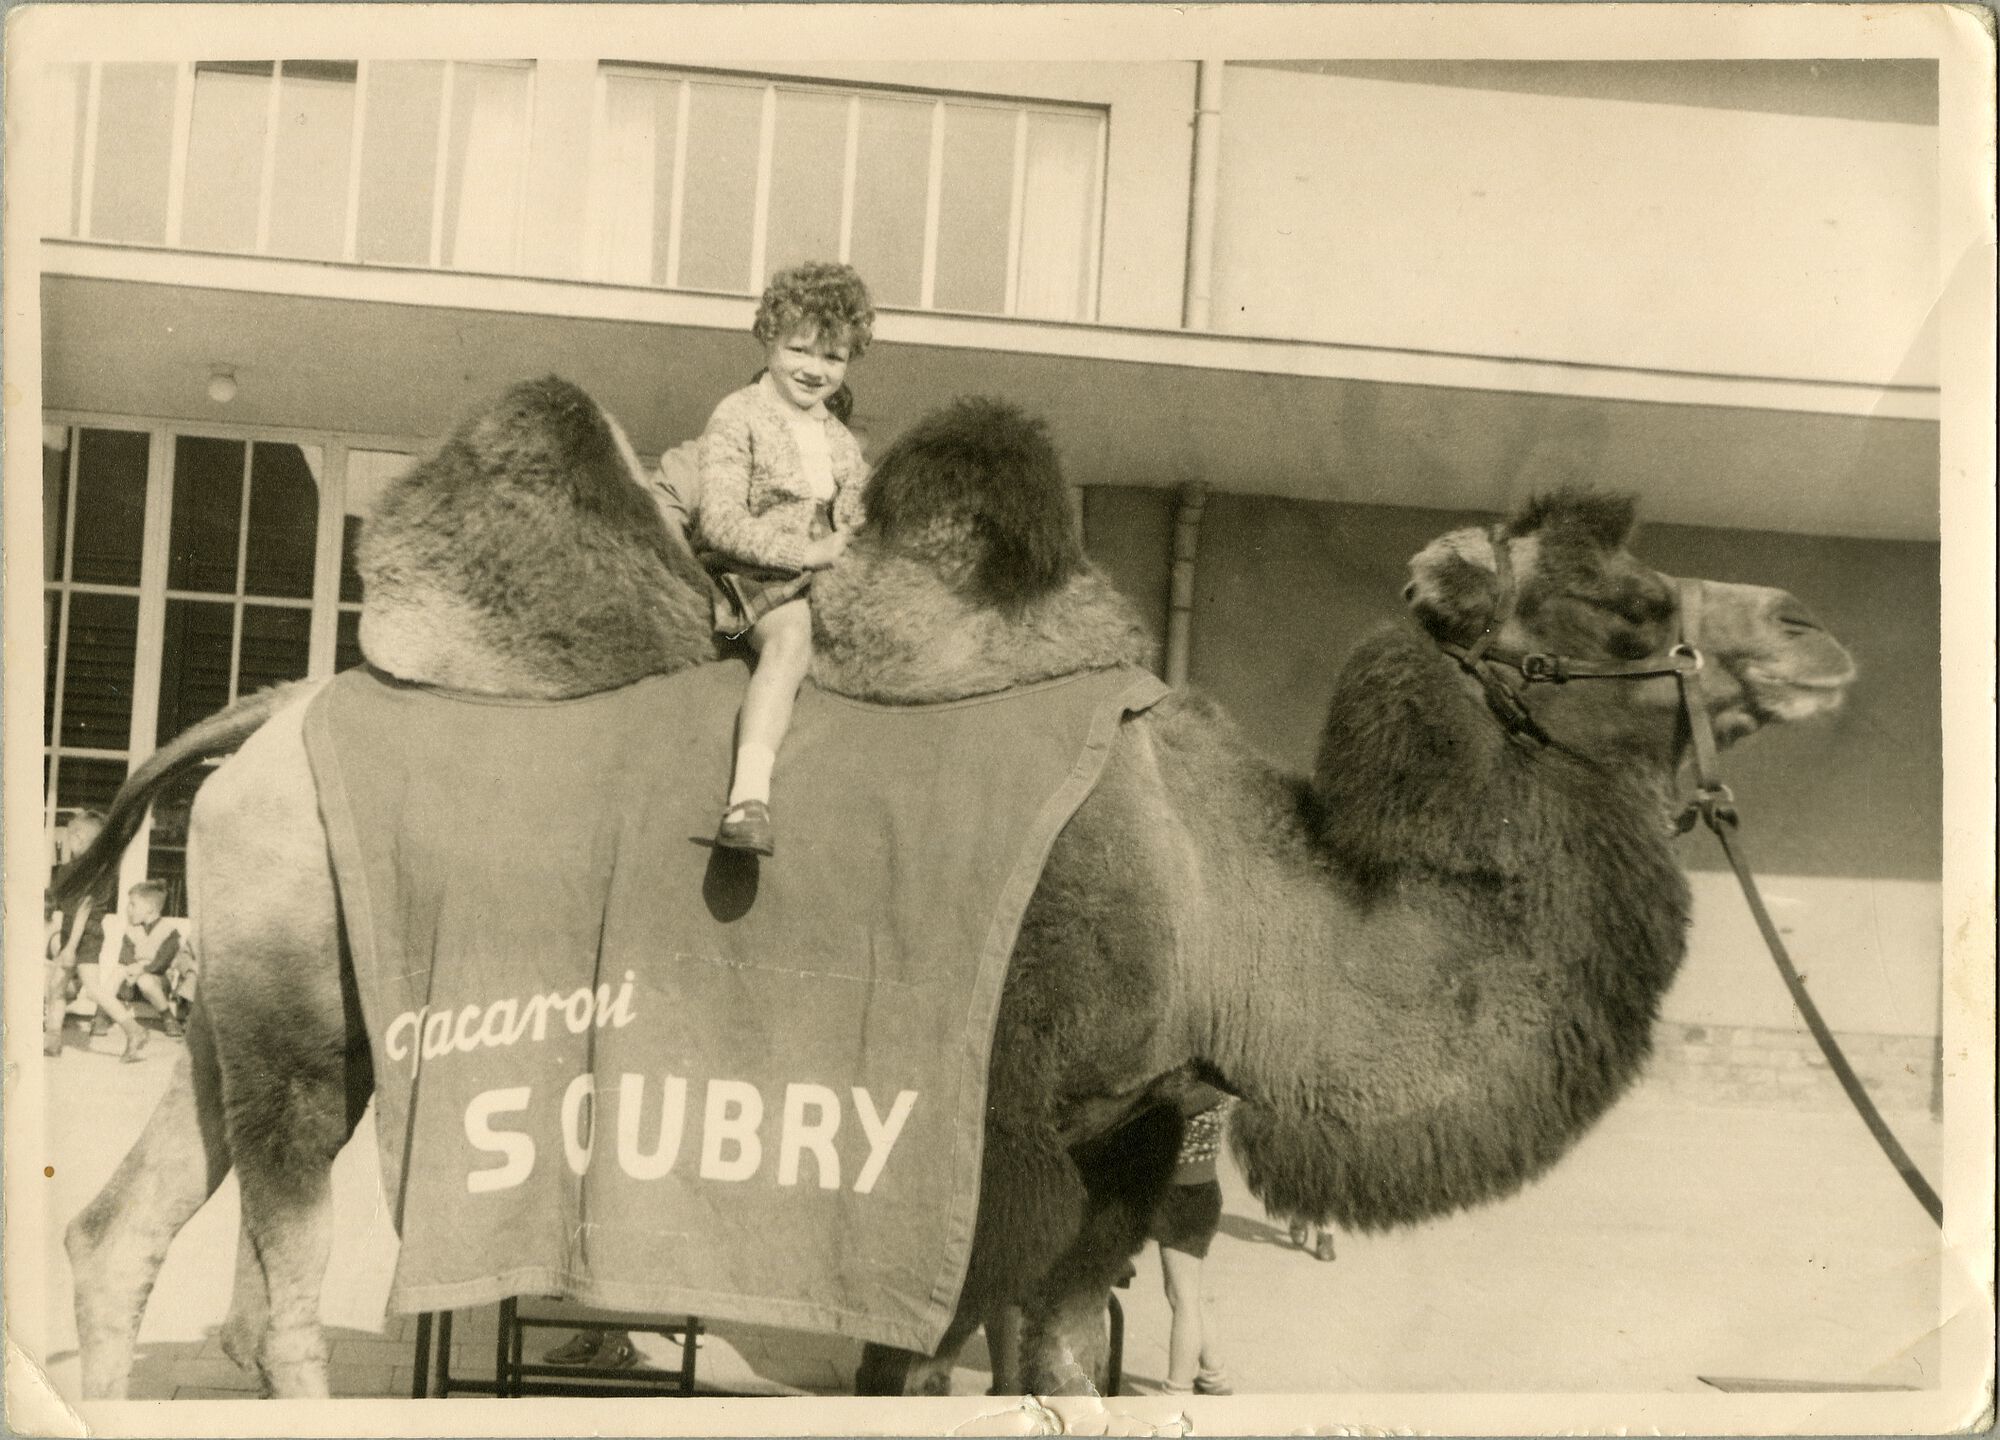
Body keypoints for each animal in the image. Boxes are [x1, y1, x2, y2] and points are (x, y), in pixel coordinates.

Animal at [54, 380, 1856, 1392]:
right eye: (1632, 608)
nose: (1819, 633)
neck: (1229, 902)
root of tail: (261, 721)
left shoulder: (1122, 1146)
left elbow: (1053, 1372)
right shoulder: (998, 1148)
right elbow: (926, 1369)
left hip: (236, 1006)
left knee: (113, 1233)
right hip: (311, 1023)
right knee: (278, 1299)